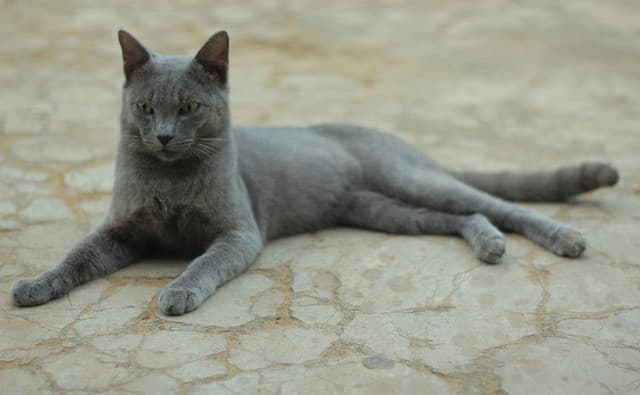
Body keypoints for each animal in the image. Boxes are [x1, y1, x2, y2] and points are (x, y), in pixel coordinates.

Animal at [11, 30, 620, 316]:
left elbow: (203, 262)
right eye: (144, 108)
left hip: (407, 179)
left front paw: (177, 293)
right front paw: (34, 286)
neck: (168, 177)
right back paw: (488, 244)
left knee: (498, 204)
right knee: (462, 215)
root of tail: (403, 144)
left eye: (187, 108)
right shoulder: (121, 230)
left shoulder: (239, 233)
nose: (161, 135)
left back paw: (564, 238)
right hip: (386, 210)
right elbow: (76, 256)